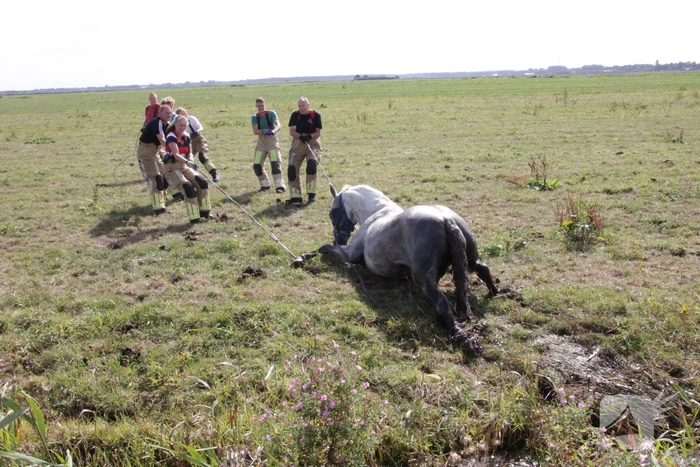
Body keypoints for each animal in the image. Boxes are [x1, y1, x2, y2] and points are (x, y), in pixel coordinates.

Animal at [317, 184, 500, 350]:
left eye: (332, 213)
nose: (338, 239)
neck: (376, 213)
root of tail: (447, 220)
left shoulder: (351, 254)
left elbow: (329, 249)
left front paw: (320, 250)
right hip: (471, 260)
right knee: (483, 269)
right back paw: (496, 292)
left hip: (424, 281)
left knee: (442, 305)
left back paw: (463, 339)